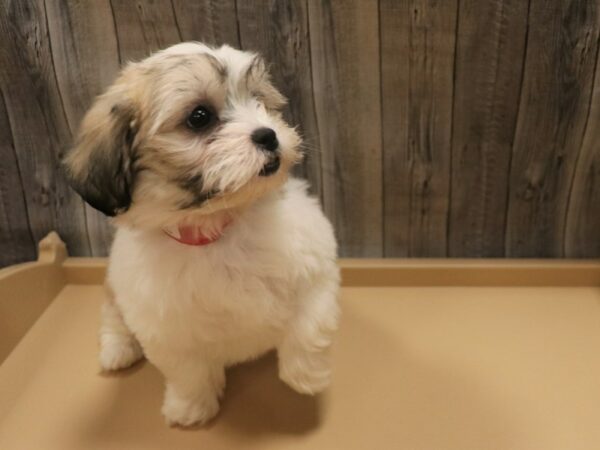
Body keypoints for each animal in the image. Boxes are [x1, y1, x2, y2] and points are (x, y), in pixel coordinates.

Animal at [64, 42, 342, 426]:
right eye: (199, 117)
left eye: (258, 101)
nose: (268, 135)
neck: (217, 227)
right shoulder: (165, 328)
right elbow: (188, 371)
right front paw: (190, 407)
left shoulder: (315, 266)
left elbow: (309, 324)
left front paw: (305, 376)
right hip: (115, 290)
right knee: (113, 318)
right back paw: (117, 350)